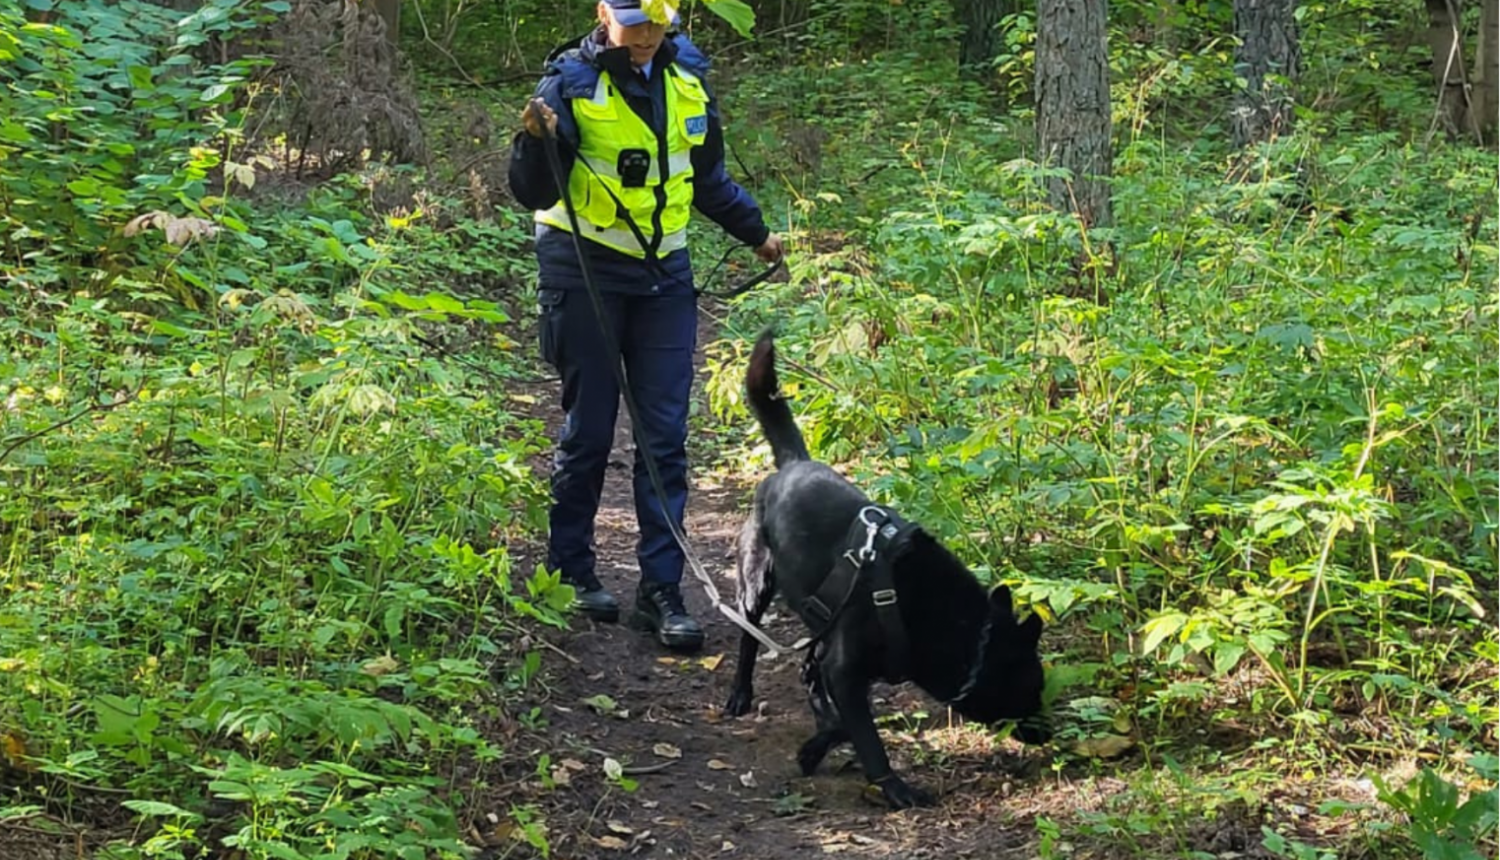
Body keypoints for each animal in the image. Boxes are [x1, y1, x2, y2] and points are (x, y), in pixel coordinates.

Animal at [720, 331, 1050, 810]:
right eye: (1034, 686)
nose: (1048, 733)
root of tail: (794, 462)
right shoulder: (845, 671)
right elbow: (863, 734)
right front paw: (894, 787)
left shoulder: (843, 663)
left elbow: (837, 712)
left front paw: (815, 747)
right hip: (757, 583)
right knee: (749, 639)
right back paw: (740, 694)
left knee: (806, 665)